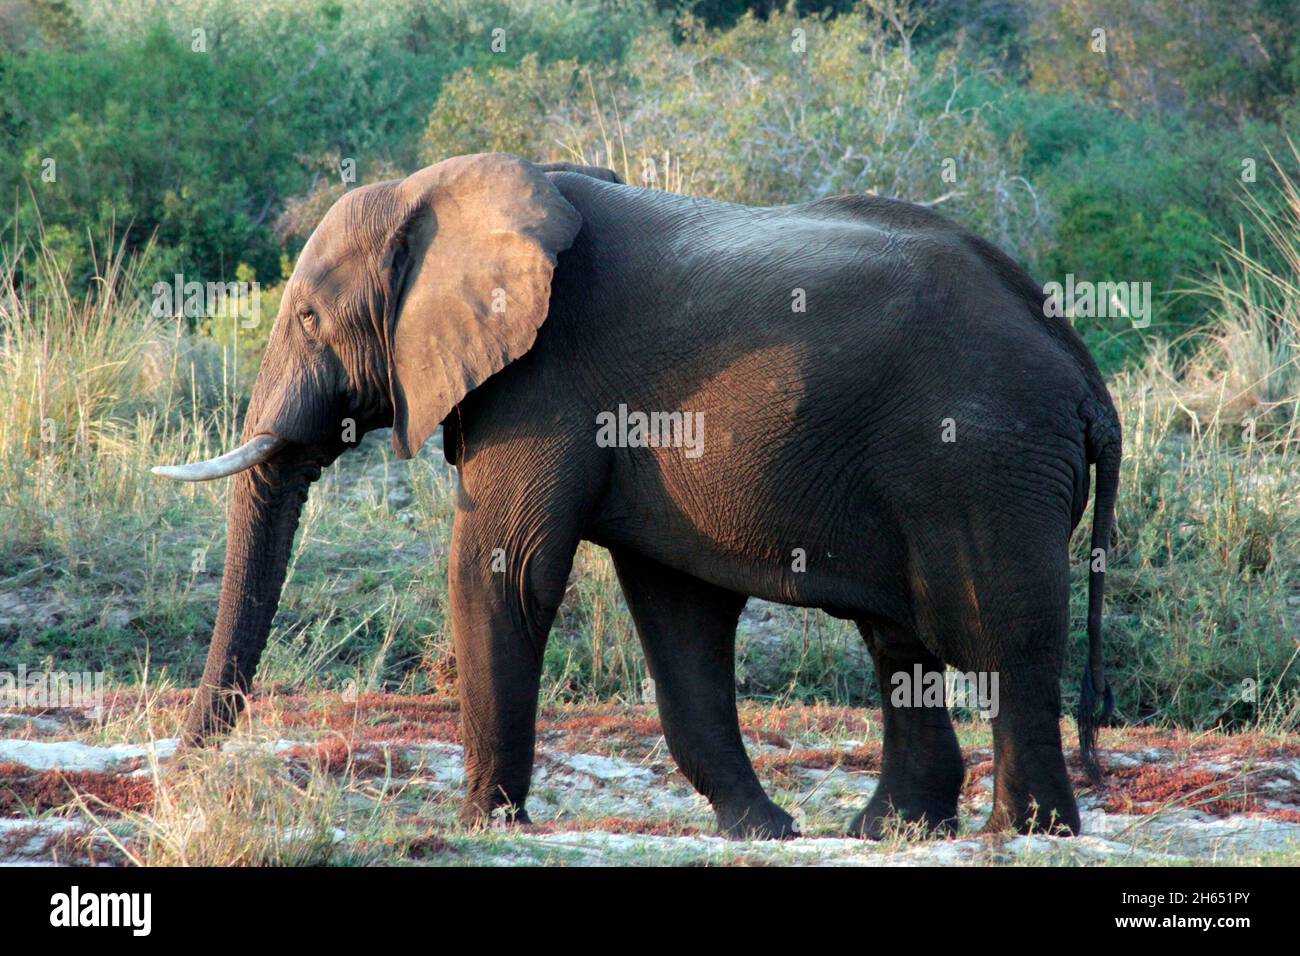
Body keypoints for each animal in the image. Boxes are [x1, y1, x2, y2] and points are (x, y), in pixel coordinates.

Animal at [157, 153, 1123, 842]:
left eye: (309, 320)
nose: (172, 773)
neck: (435, 192)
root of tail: (1082, 372)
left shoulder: (543, 384)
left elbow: (506, 571)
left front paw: (485, 825)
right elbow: (678, 609)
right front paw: (763, 832)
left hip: (986, 461)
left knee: (998, 636)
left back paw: (1022, 832)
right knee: (901, 644)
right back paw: (891, 832)